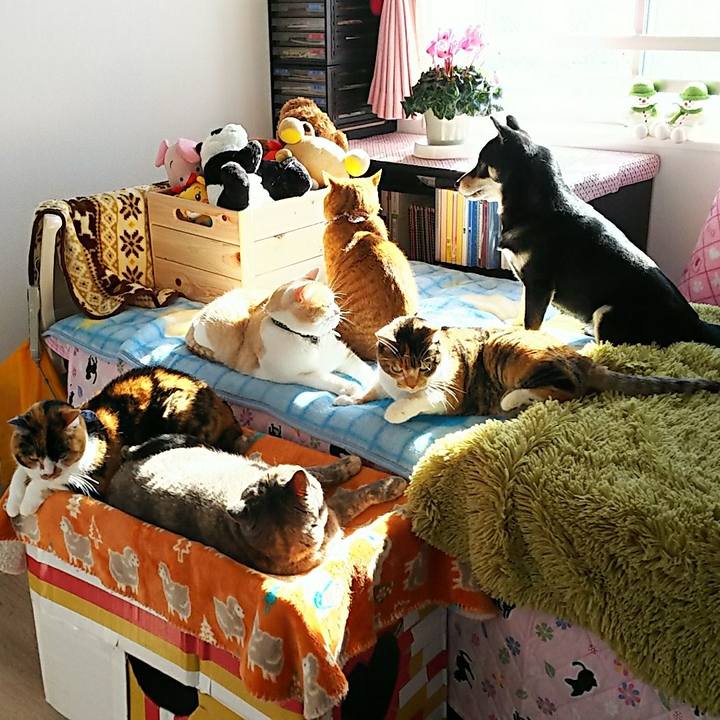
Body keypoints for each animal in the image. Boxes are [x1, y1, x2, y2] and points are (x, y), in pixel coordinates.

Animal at [5, 366, 250, 518]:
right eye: (34, 457)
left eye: (63, 456)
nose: (48, 472)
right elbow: (19, 474)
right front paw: (12, 505)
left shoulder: (96, 481)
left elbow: (46, 483)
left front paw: (25, 505)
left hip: (176, 405)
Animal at [186, 270, 374, 397]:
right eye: (326, 306)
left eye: (334, 301)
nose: (337, 310)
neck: (309, 340)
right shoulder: (303, 376)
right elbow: (336, 380)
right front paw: (354, 390)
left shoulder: (345, 356)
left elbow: (367, 371)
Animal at [335, 315, 720, 423]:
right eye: (399, 368)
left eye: (426, 366)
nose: (412, 383)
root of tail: (585, 359)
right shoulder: (383, 380)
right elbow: (371, 388)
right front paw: (348, 398)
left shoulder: (448, 395)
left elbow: (419, 402)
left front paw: (397, 410)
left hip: (507, 350)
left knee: (568, 389)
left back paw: (512, 400)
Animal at [456, 115, 720, 347]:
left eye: (482, 164)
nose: (457, 182)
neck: (538, 208)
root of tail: (694, 324)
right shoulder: (528, 285)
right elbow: (523, 313)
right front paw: (514, 329)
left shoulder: (539, 285)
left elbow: (532, 324)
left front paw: (526, 342)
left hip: (607, 313)